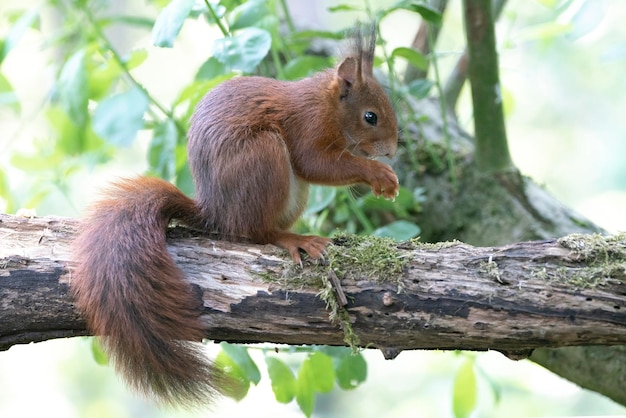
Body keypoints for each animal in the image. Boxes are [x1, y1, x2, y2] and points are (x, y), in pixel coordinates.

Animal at [70, 22, 398, 404]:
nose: (392, 151)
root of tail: (215, 212)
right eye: (370, 117)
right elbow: (315, 163)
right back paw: (294, 239)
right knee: (256, 233)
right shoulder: (308, 125)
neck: (327, 104)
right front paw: (378, 174)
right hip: (264, 155)